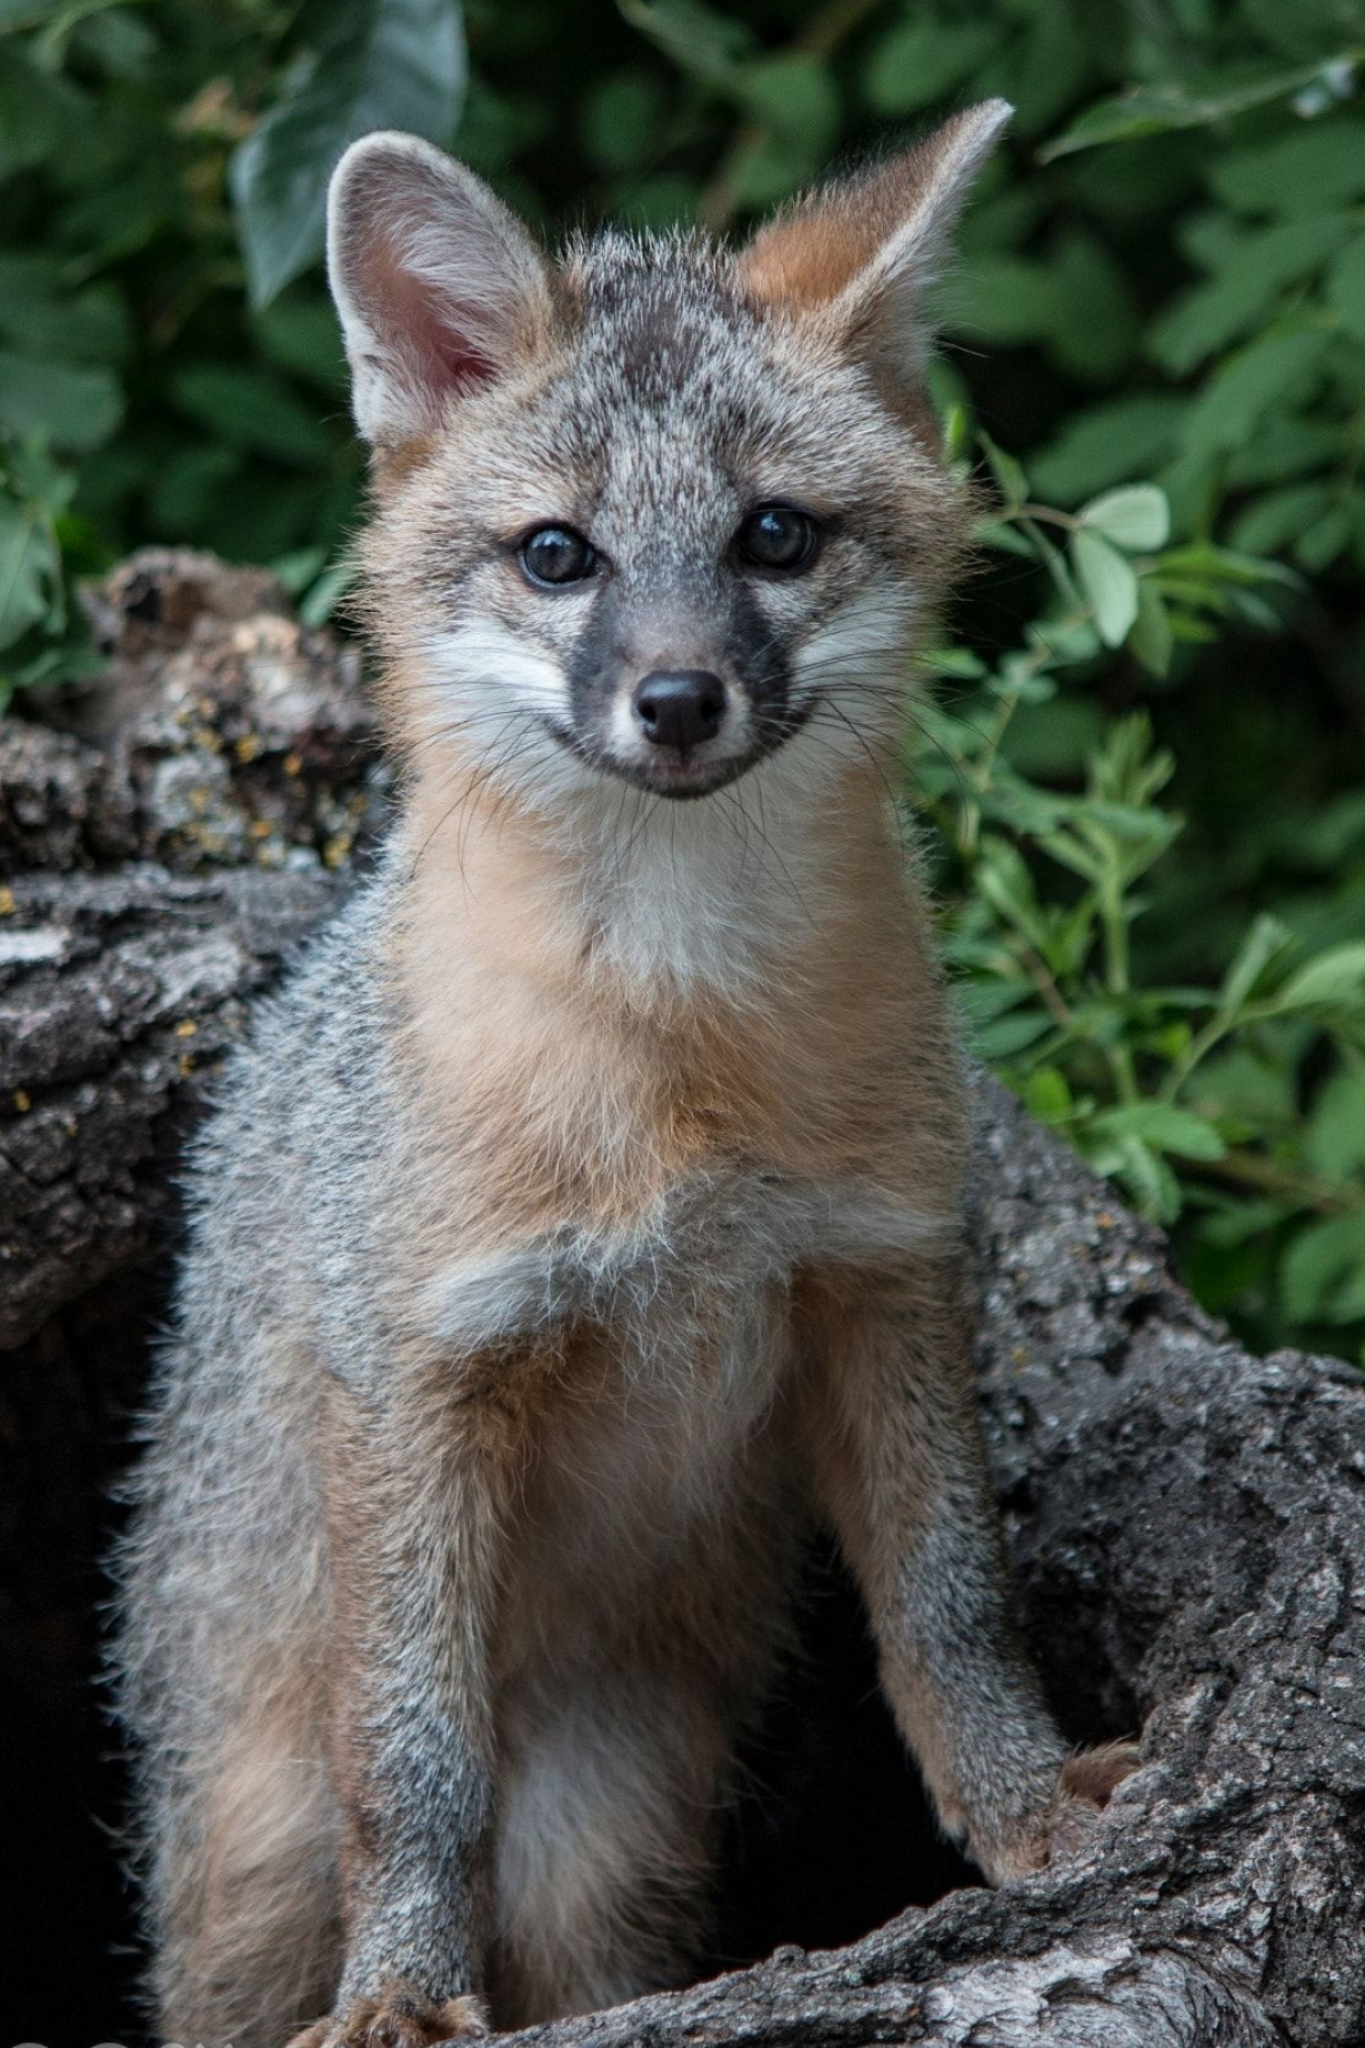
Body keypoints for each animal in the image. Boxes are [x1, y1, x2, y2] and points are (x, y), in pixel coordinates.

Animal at [117, 103, 1137, 2048]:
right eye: (556, 556)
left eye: (773, 535)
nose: (674, 697)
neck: (680, 1065)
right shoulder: (424, 1376)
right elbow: (412, 1753)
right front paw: (403, 1993)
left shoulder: (882, 1273)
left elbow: (951, 1603)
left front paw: (1025, 1808)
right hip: (255, 1870)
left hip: (611, 1842)